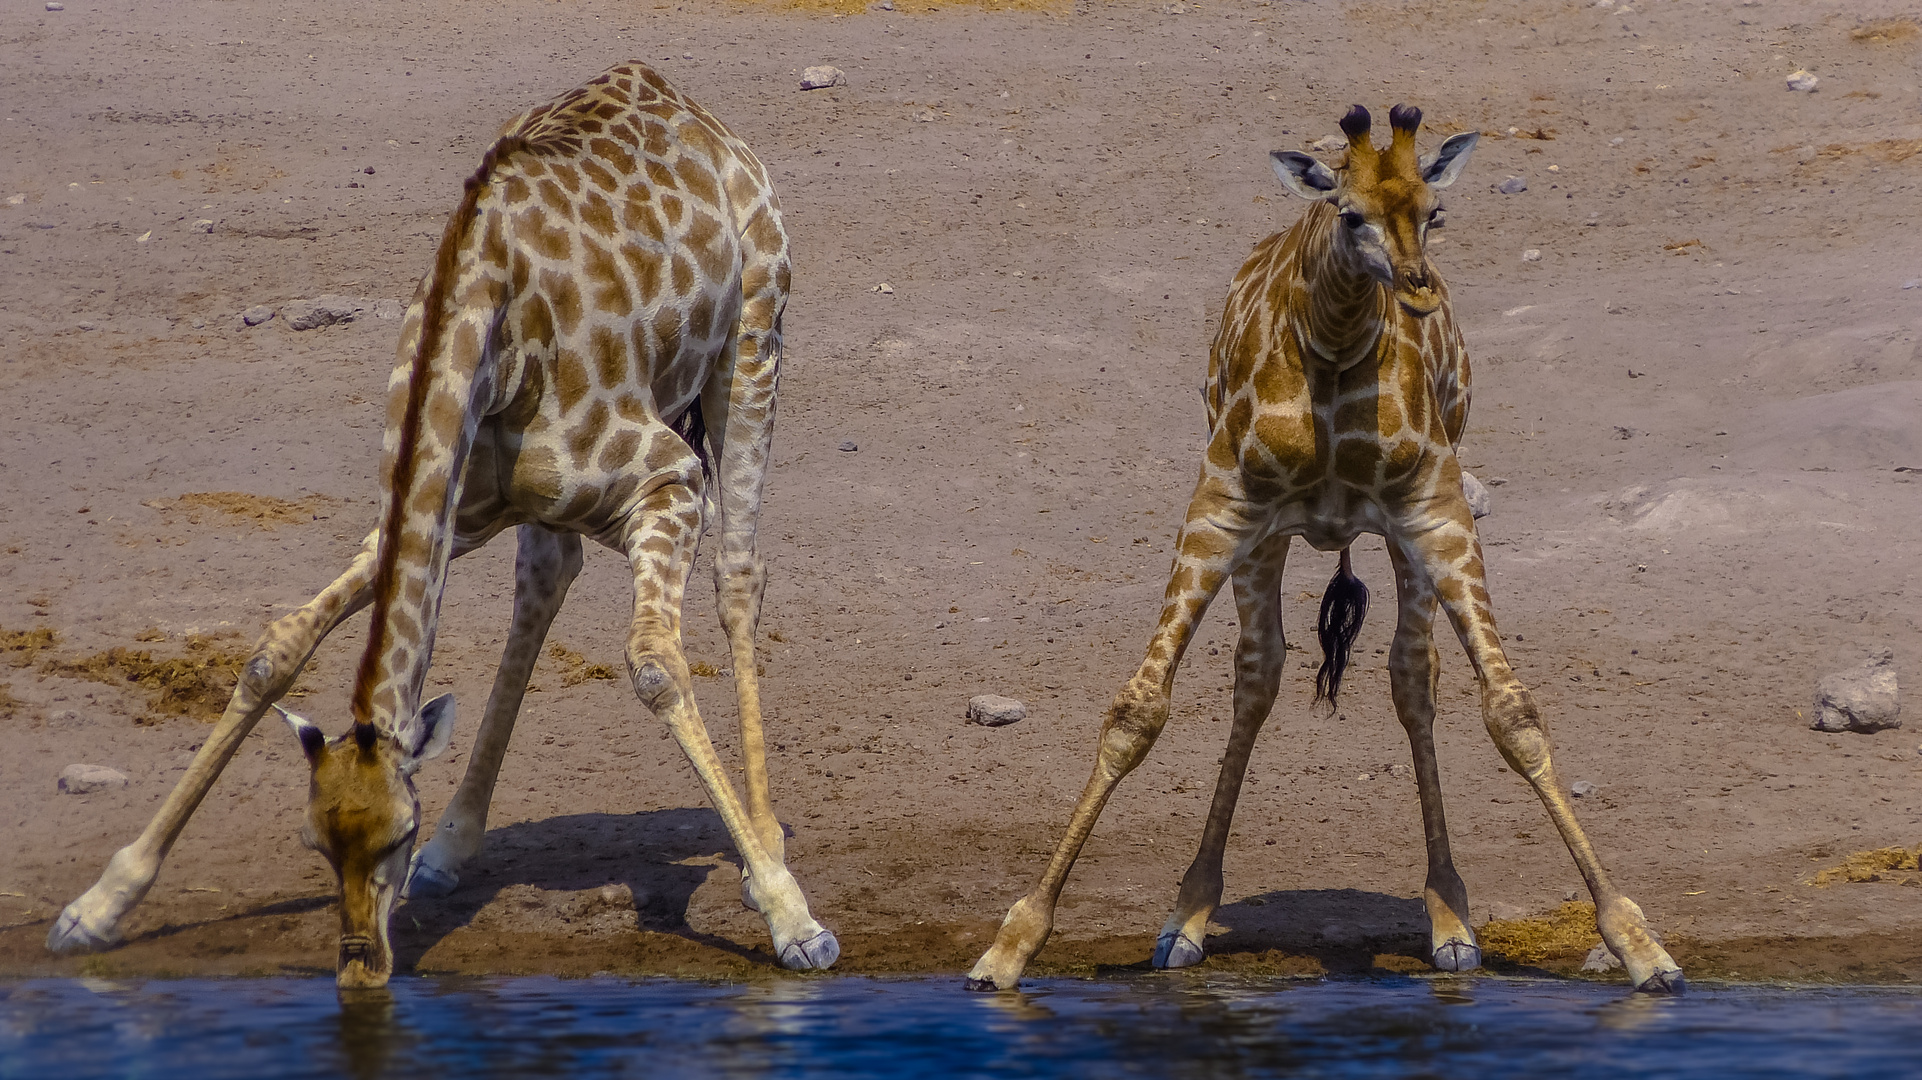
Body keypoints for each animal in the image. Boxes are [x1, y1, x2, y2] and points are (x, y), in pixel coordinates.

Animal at [43, 58, 841, 983]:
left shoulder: (668, 481)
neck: (487, 330)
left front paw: (793, 918)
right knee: (546, 579)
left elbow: (654, 666)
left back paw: (766, 853)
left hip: (755, 337)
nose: (361, 967)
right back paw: (463, 847)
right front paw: (100, 904)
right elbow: (276, 649)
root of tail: (684, 102)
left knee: (738, 573)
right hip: (537, 500)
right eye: (316, 844)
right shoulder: (432, 511)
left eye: (397, 833)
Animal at [961, 105, 1683, 991]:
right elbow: (1138, 708)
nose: (1418, 287)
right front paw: (1009, 947)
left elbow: (1513, 712)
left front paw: (1641, 945)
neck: (1333, 344)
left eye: (1435, 212)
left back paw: (1450, 918)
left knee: (1411, 675)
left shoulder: (1437, 509)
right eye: (1351, 215)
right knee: (1258, 675)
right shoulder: (1221, 505)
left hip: (1401, 537)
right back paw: (1187, 915)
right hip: (1266, 540)